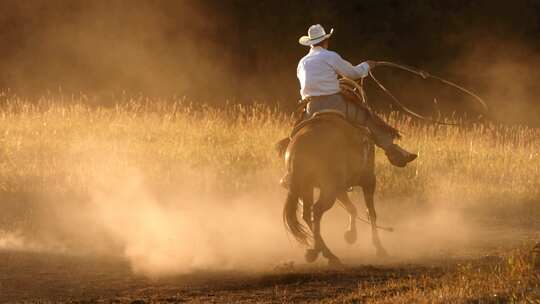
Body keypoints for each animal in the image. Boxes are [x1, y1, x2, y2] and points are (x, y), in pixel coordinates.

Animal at [280, 113, 386, 264]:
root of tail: (300, 146)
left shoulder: (341, 189)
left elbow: (352, 208)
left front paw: (351, 235)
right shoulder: (369, 180)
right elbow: (371, 213)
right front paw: (379, 247)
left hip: (307, 187)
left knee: (307, 214)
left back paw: (320, 251)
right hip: (329, 190)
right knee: (316, 210)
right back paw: (323, 253)